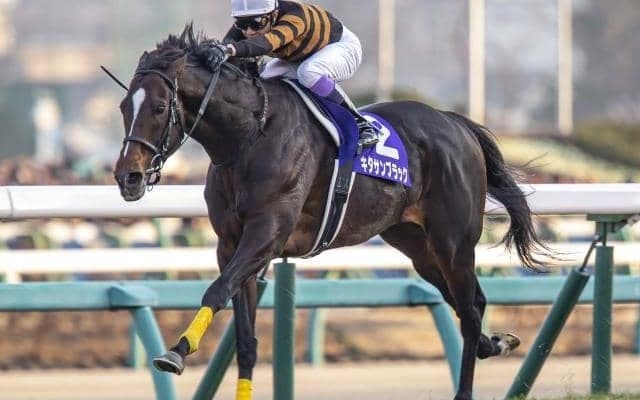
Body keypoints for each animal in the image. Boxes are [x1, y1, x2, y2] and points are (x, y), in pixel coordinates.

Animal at [112, 25, 546, 400]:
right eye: (123, 107)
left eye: (159, 106)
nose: (127, 176)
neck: (248, 138)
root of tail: (455, 123)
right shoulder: (231, 244)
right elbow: (246, 340)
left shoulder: (266, 236)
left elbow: (216, 290)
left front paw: (176, 352)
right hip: (417, 246)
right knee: (470, 303)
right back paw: (497, 341)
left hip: (453, 242)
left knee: (469, 313)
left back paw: (467, 386)